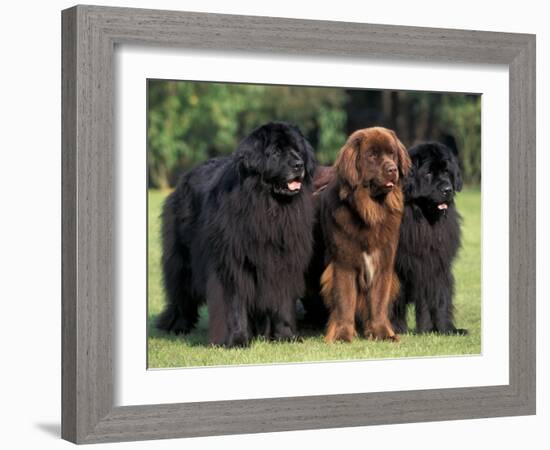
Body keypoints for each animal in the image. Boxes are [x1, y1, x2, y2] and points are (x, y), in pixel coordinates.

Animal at [157, 122, 316, 348]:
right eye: (276, 152)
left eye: (297, 150)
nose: (298, 165)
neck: (269, 206)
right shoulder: (231, 264)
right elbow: (234, 303)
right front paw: (237, 339)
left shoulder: (283, 261)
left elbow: (283, 302)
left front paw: (286, 336)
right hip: (182, 260)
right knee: (181, 292)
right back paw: (177, 325)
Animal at [320, 126, 410, 342]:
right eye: (372, 156)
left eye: (392, 153)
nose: (392, 169)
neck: (370, 212)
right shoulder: (343, 264)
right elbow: (345, 301)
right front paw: (343, 335)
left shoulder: (383, 263)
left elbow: (378, 302)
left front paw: (383, 333)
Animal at [392, 141, 470, 334]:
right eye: (428, 173)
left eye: (446, 172)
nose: (447, 189)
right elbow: (393, 300)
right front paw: (394, 329)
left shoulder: (435, 264)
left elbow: (440, 297)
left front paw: (443, 329)